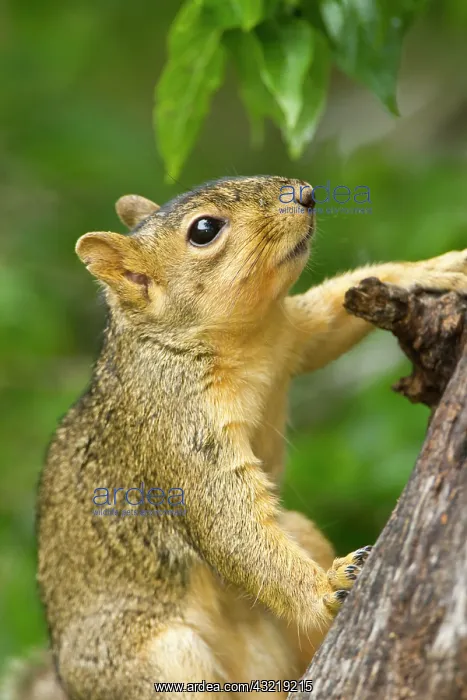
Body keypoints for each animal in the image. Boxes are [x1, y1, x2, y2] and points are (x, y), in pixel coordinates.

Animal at [5, 176, 467, 700]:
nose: (306, 193)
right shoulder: (178, 429)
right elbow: (228, 524)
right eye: (204, 230)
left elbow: (336, 308)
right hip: (162, 660)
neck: (242, 341)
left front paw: (435, 269)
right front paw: (326, 591)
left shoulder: (293, 334)